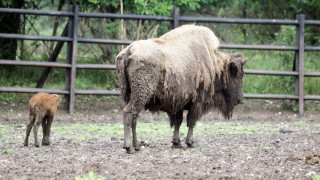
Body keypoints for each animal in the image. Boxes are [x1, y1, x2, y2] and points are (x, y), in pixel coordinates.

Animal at [115, 24, 248, 153]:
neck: (214, 63)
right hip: (141, 95)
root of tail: (130, 50)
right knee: (128, 113)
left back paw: (137, 146)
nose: (240, 99)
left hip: (131, 96)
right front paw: (190, 143)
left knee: (134, 118)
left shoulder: (177, 103)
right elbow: (191, 122)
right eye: (240, 75)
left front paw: (176, 143)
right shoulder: (197, 102)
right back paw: (129, 147)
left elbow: (178, 122)